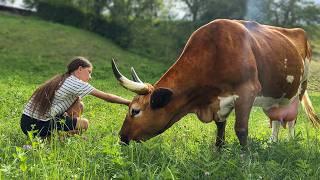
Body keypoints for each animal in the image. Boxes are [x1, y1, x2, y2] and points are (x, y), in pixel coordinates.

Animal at [111, 19, 318, 147]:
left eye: (135, 111)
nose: (122, 137)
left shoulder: (247, 91)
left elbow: (241, 130)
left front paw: (245, 161)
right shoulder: (218, 102)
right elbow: (220, 129)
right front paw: (218, 153)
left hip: (300, 88)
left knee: (291, 120)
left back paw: (290, 143)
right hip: (278, 95)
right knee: (276, 118)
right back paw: (272, 143)